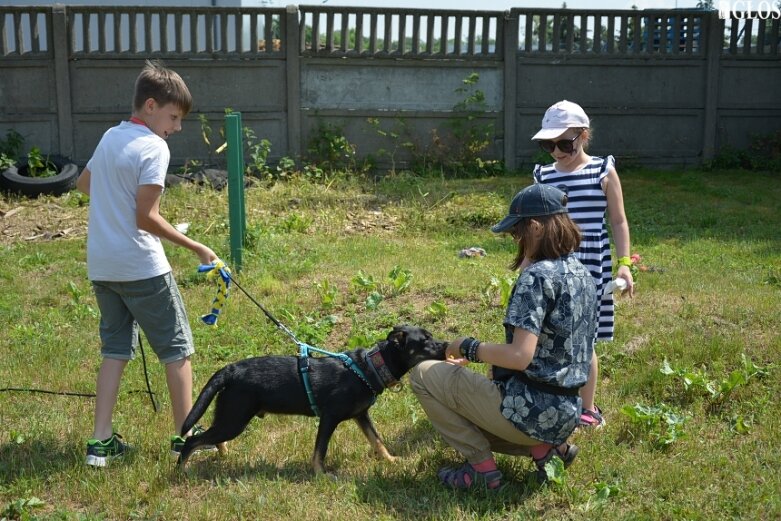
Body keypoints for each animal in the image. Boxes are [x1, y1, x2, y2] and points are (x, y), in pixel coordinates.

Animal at [176, 322, 444, 474]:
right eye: (425, 340)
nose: (445, 345)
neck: (368, 368)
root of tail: (230, 370)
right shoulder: (329, 418)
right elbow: (320, 450)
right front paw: (320, 475)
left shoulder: (361, 415)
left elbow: (377, 440)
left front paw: (390, 460)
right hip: (234, 419)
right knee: (191, 441)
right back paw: (181, 472)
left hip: (229, 419)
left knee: (207, 436)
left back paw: (222, 455)